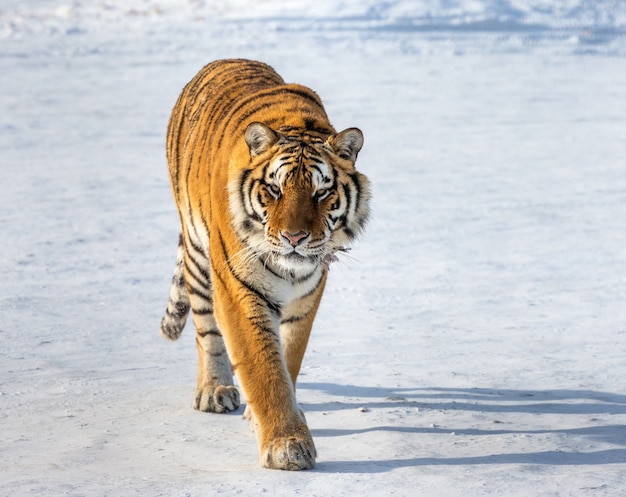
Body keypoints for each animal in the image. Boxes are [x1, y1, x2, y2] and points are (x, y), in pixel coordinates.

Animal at [158, 58, 368, 468]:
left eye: (321, 192)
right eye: (275, 189)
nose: (294, 238)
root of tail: (225, 59)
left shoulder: (308, 294)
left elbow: (288, 356)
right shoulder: (238, 288)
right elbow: (262, 365)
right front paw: (286, 445)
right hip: (198, 258)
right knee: (206, 330)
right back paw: (215, 389)